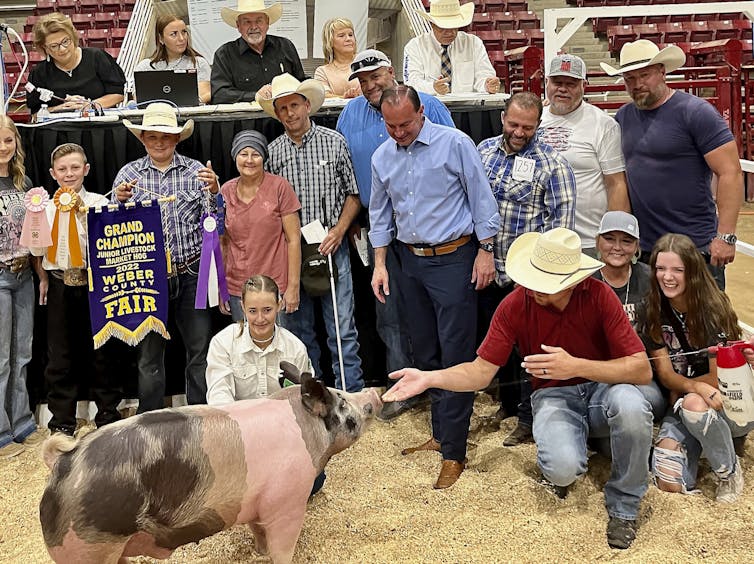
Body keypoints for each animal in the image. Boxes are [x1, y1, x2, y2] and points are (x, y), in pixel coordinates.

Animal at [39, 366, 382, 564]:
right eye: (343, 405)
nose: (372, 393)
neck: (308, 434)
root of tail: (64, 461)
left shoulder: (255, 504)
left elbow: (258, 532)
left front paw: (258, 552)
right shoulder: (286, 504)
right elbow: (282, 548)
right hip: (89, 549)